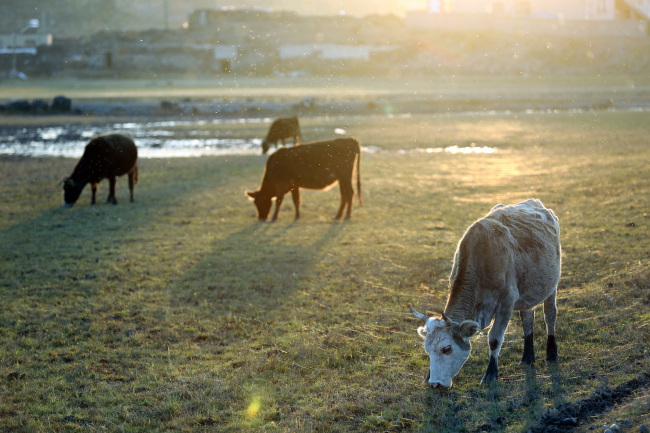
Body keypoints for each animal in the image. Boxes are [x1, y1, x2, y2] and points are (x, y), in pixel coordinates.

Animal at [410, 199, 556, 388]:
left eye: (447, 348)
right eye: (427, 349)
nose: (435, 384)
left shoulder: (506, 301)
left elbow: (494, 338)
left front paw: (491, 373)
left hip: (552, 287)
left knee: (549, 316)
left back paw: (551, 353)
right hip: (527, 294)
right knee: (527, 320)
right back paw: (527, 358)